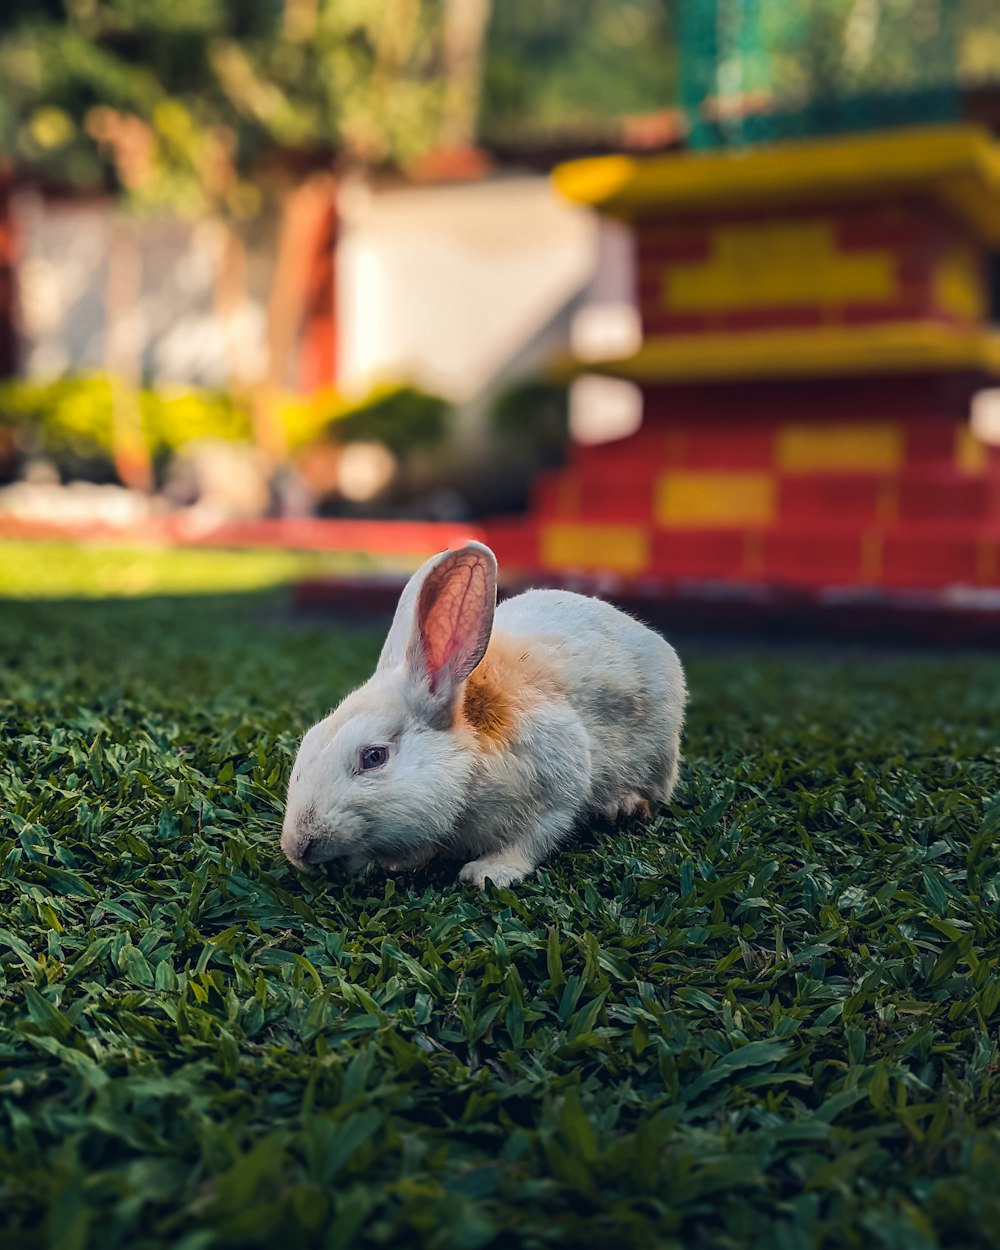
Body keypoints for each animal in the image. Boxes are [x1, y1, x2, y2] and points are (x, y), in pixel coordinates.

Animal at [281, 540, 690, 890]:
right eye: (308, 742)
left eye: (373, 757)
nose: (297, 847)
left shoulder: (559, 783)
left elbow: (535, 837)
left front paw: (487, 874)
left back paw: (622, 805)